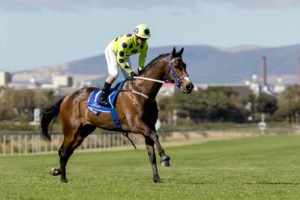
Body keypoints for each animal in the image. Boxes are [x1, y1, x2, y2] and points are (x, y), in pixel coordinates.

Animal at [41, 47, 193, 183]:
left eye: (185, 65)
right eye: (176, 66)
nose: (189, 86)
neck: (141, 92)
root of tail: (66, 98)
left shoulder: (148, 126)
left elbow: (151, 154)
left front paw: (157, 178)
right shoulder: (136, 125)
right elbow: (155, 135)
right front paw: (165, 158)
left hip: (83, 132)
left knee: (68, 151)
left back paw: (57, 171)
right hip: (71, 130)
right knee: (63, 151)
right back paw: (62, 178)